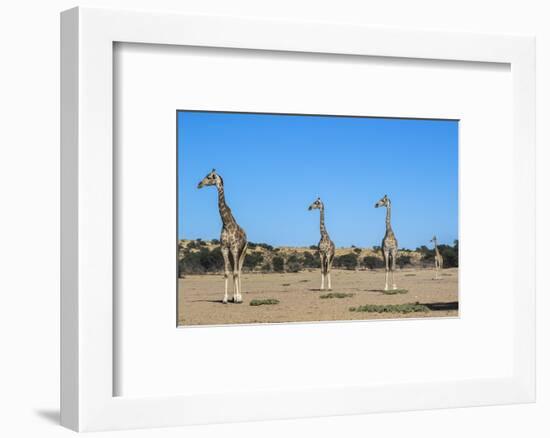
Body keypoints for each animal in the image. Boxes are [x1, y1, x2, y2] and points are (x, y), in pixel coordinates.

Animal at [198, 169, 248, 302]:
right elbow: (226, 273)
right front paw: (225, 298)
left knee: (239, 270)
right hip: (231, 253)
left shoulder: (235, 248)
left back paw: (239, 297)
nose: (199, 184)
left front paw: (238, 298)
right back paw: (233, 297)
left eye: (209, 177)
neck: (226, 223)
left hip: (242, 251)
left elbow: (235, 272)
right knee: (234, 269)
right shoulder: (224, 248)